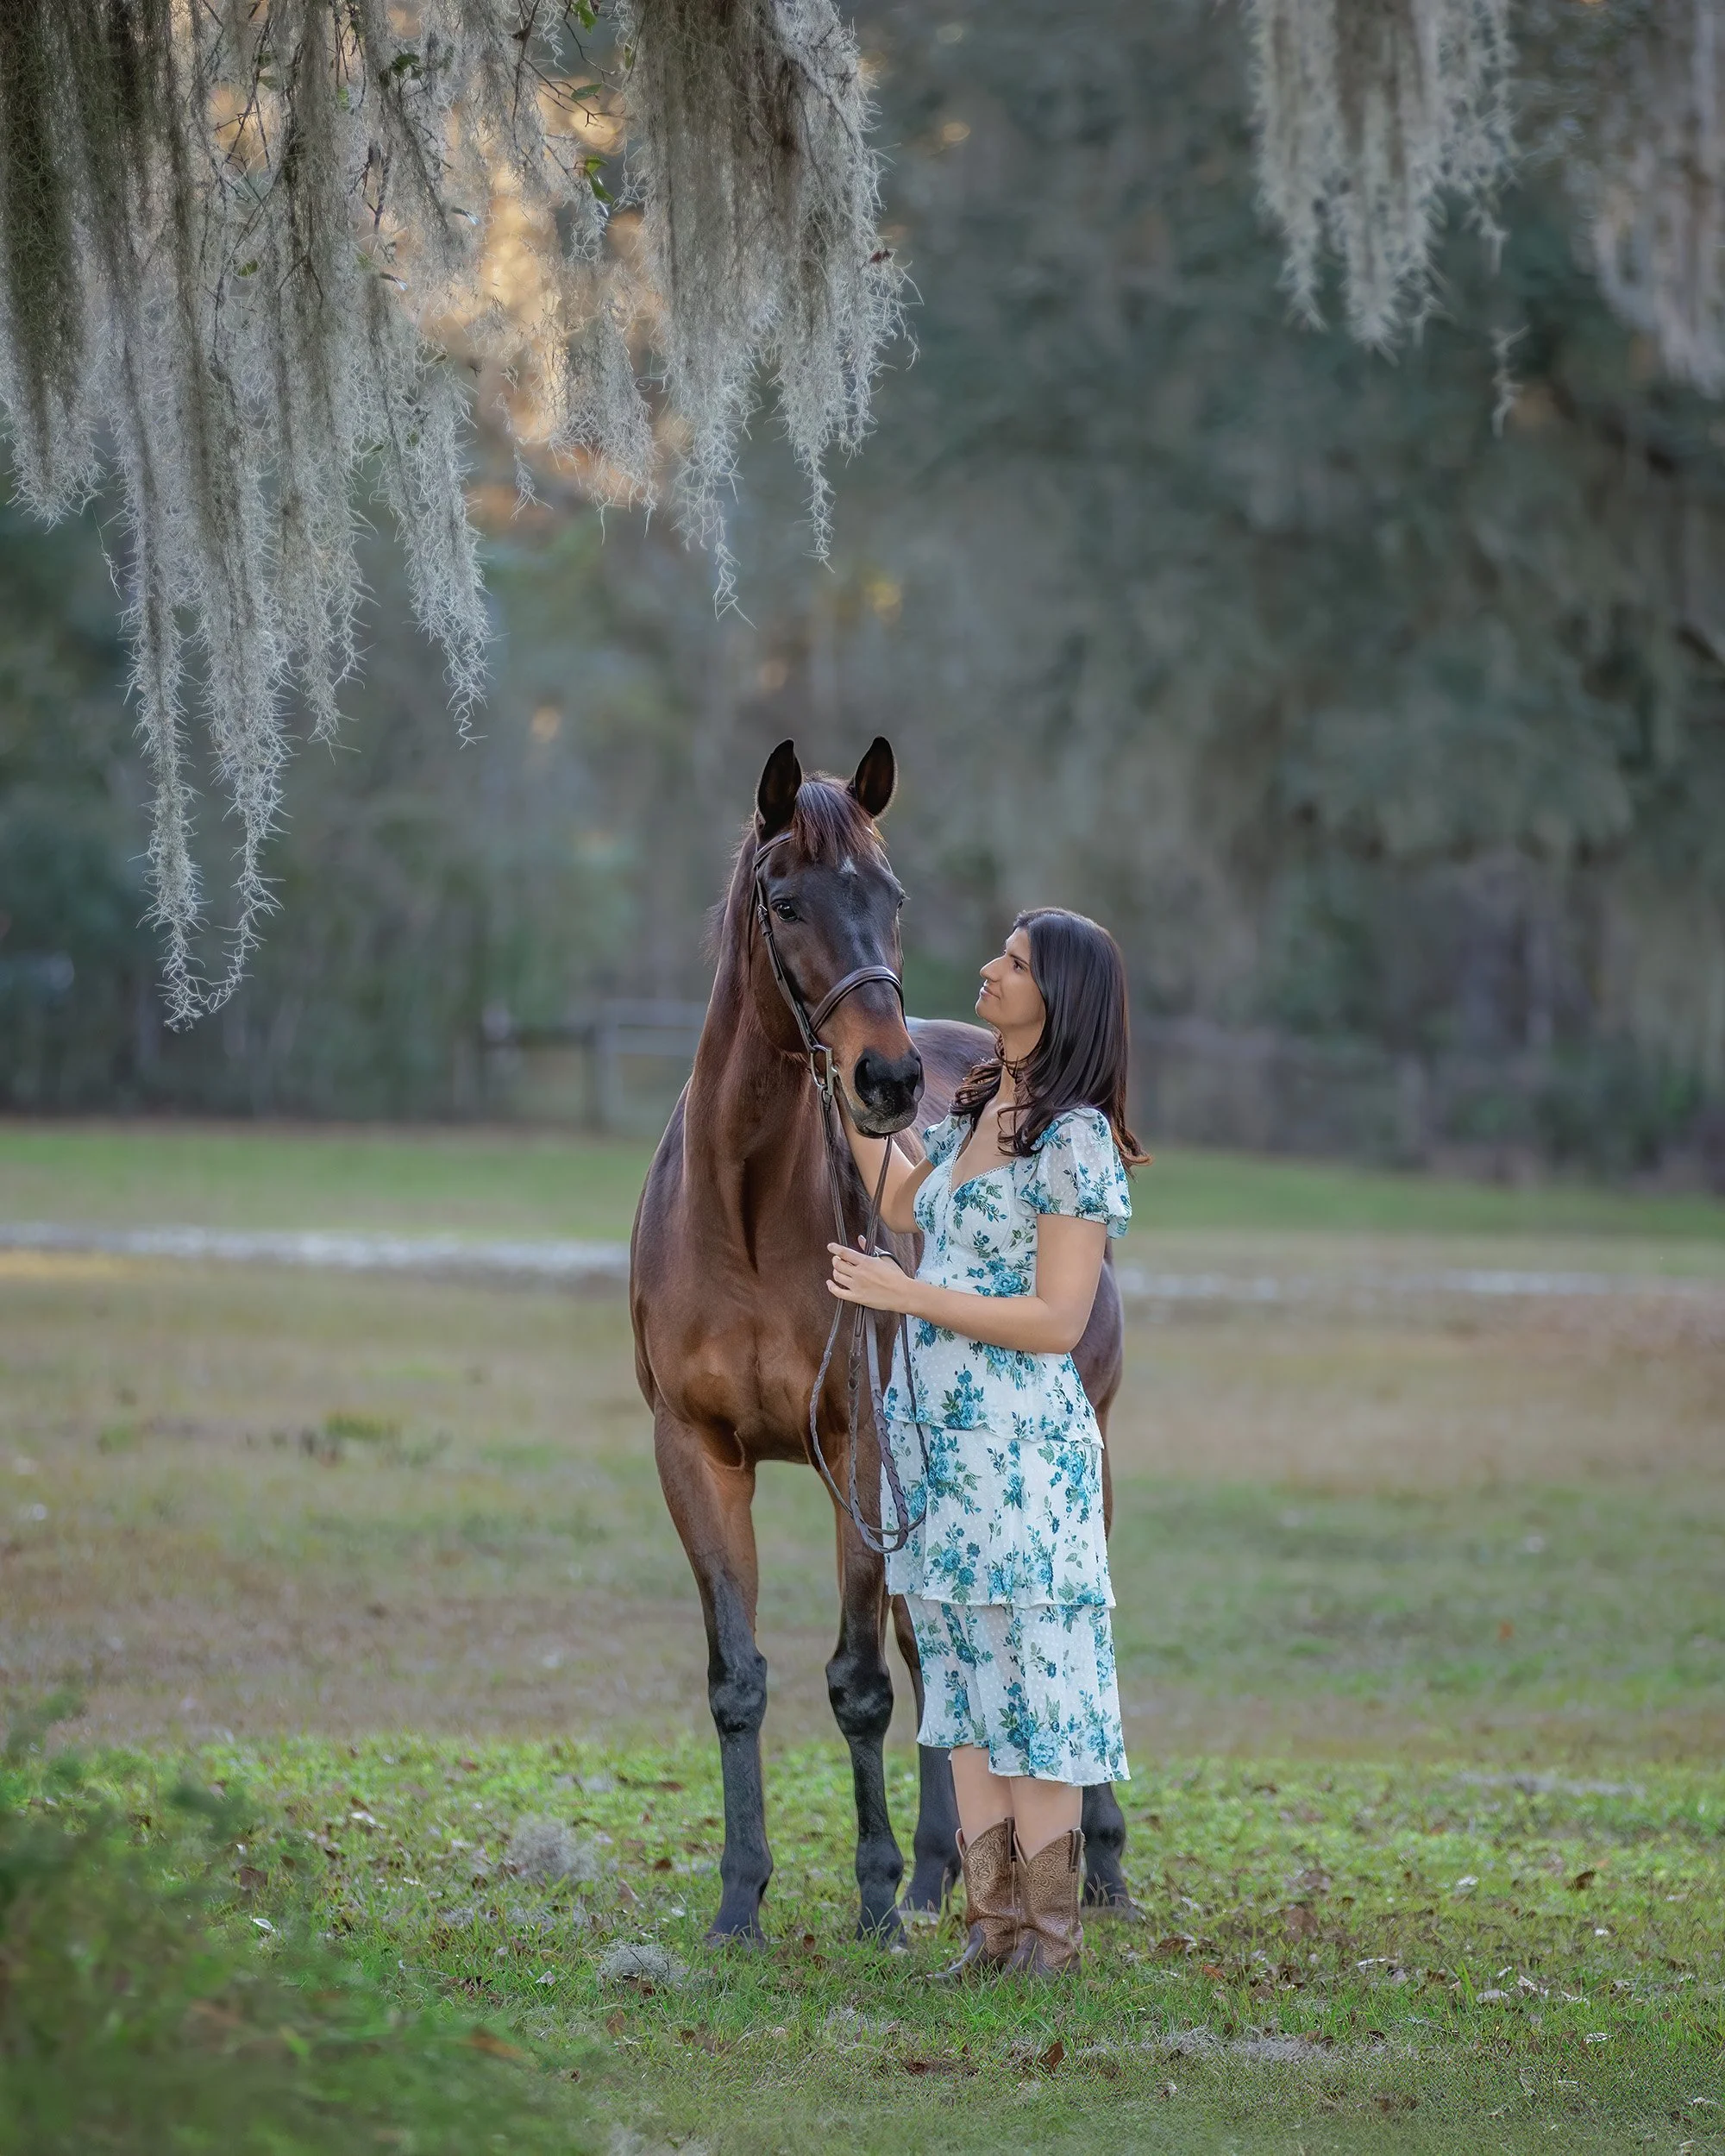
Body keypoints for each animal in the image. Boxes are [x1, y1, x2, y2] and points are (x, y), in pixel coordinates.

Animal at [629, 735, 1132, 1942]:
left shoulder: (854, 1454)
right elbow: (738, 1680)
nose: (890, 1081)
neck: (744, 1214)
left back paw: (1094, 1869)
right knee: (939, 1655)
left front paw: (868, 1899)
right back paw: (943, 1876)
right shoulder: (695, 1455)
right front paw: (741, 1903)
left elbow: (856, 1684)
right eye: (786, 900)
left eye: (890, 897)